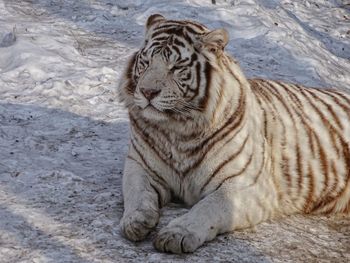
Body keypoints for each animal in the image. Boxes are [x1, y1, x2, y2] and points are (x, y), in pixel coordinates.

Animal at [118, 13, 350, 254]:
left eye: (176, 67)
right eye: (146, 62)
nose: (147, 92)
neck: (176, 130)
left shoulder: (248, 185)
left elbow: (209, 206)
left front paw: (176, 234)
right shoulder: (139, 165)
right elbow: (137, 193)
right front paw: (135, 221)